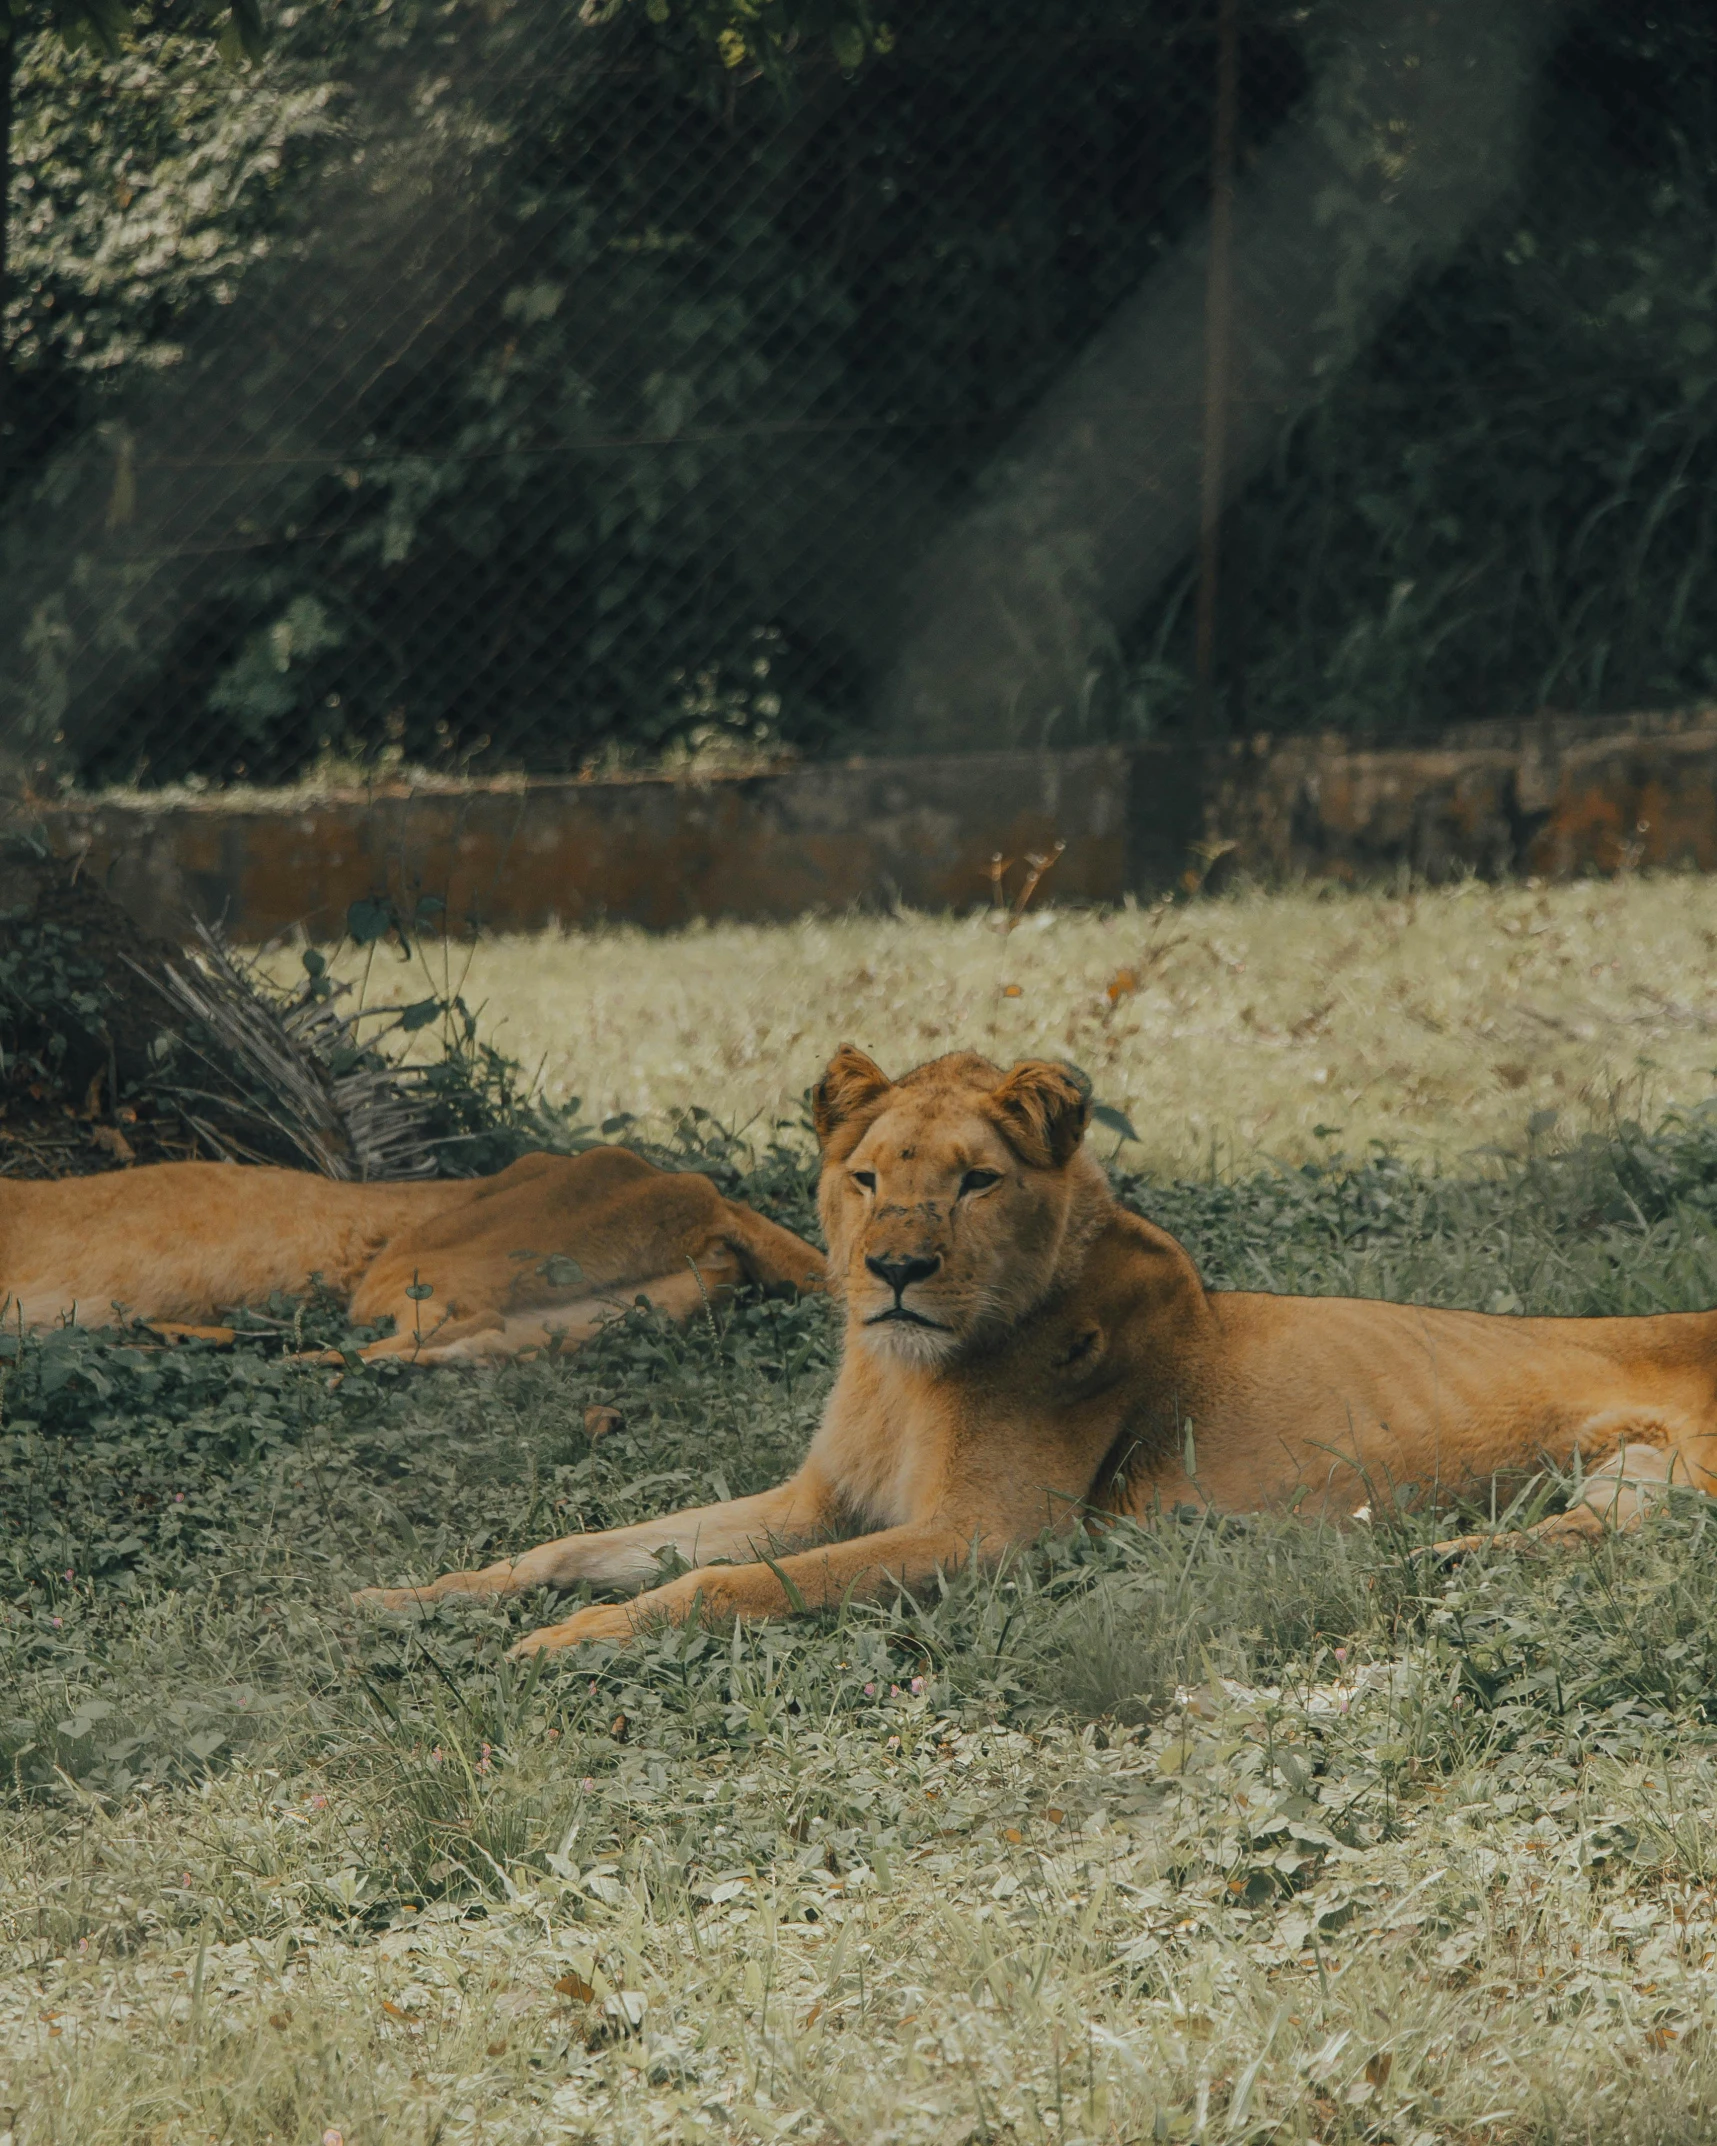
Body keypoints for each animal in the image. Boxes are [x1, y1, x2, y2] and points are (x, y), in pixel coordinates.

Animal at [356, 1047, 1708, 1648]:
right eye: (866, 1178)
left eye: (974, 1181)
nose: (895, 1270)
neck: (900, 1377)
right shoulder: (817, 1500)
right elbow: (586, 1545)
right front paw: (406, 1596)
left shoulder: (990, 1535)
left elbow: (723, 1585)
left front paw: (566, 1642)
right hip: (1625, 1480)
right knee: (1579, 1534)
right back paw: (1432, 1558)